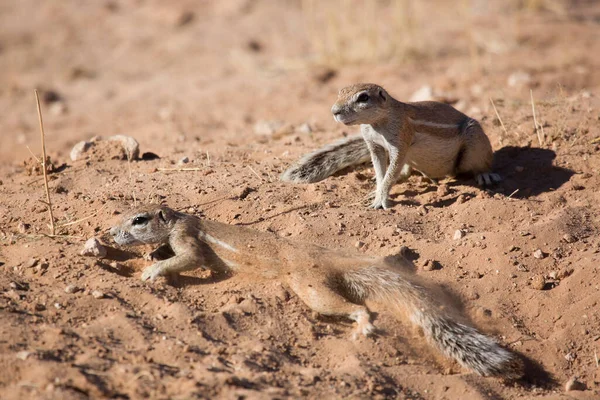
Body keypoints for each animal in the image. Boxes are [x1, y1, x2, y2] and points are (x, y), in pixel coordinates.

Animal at [110, 205, 524, 376]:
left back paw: (362, 325)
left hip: (310, 290)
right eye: (123, 213)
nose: (111, 233)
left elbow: (190, 257)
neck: (178, 219)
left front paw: (153, 269)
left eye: (138, 219)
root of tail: (324, 257)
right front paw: (153, 254)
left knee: (356, 308)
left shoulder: (188, 239)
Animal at [282, 84, 502, 209]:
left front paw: (381, 199)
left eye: (363, 97)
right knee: (405, 172)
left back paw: (484, 174)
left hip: (474, 137)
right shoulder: (375, 146)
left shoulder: (399, 145)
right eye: (340, 92)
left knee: (480, 163)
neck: (377, 124)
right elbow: (382, 172)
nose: (334, 111)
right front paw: (377, 190)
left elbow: (389, 173)